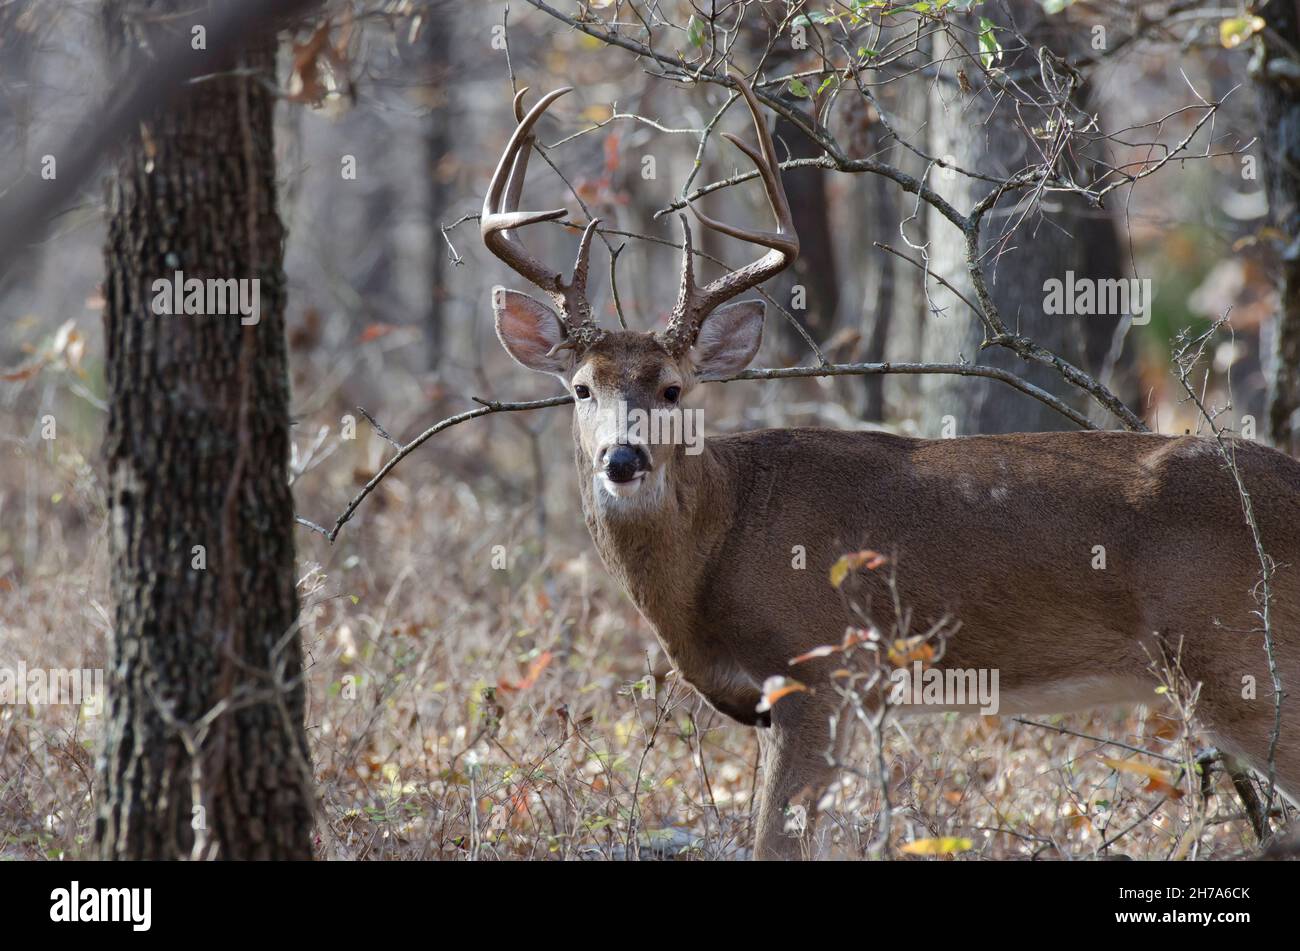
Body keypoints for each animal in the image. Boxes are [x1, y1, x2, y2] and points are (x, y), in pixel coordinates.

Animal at [480, 74, 1300, 859]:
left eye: (675, 388)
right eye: (581, 388)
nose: (623, 457)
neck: (722, 538)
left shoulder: (820, 670)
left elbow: (774, 840)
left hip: (1238, 655)